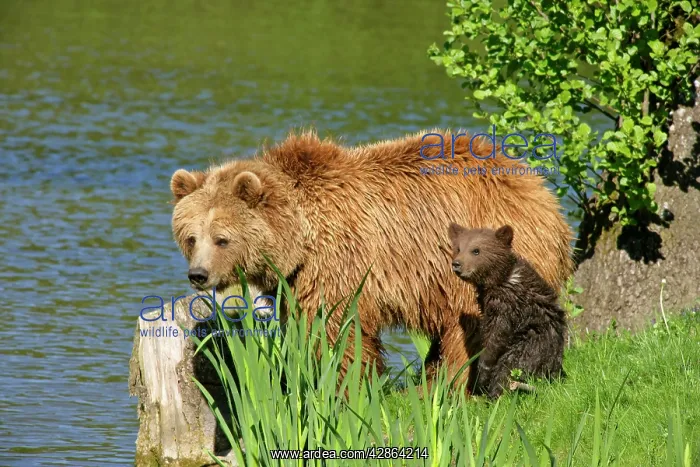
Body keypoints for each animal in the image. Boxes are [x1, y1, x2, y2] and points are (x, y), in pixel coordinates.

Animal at [448, 223, 567, 399]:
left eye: (476, 250)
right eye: (458, 248)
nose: (457, 264)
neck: (500, 278)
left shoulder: (507, 305)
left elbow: (496, 335)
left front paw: (482, 373)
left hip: (533, 346)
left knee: (509, 370)